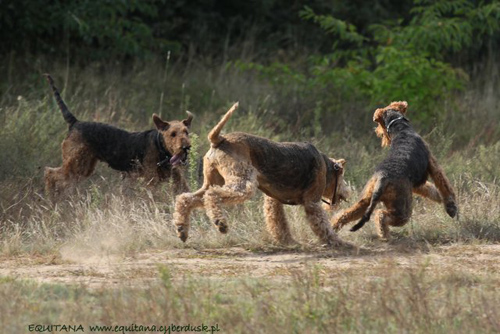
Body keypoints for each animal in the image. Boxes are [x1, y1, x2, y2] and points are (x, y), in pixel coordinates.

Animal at [44, 74, 192, 197]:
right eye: (173, 134)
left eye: (186, 132)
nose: (186, 147)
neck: (160, 147)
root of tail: (75, 122)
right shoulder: (151, 180)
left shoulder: (176, 178)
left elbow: (186, 191)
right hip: (77, 164)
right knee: (50, 173)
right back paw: (51, 199)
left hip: (85, 167)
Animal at [174, 103, 350, 247]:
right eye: (342, 177)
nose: (348, 192)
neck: (326, 166)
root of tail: (219, 139)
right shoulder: (312, 203)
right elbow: (324, 225)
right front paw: (340, 243)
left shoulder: (273, 201)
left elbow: (278, 223)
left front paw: (288, 241)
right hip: (242, 183)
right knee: (212, 195)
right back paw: (220, 223)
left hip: (212, 180)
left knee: (186, 198)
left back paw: (181, 229)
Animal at [332, 100, 458, 239]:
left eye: (379, 123)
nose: (377, 132)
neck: (400, 129)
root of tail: (382, 177)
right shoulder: (433, 164)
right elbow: (444, 185)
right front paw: (451, 206)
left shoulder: (413, 184)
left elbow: (428, 189)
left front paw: (439, 198)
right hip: (403, 209)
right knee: (381, 215)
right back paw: (385, 234)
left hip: (366, 199)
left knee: (346, 214)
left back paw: (333, 227)